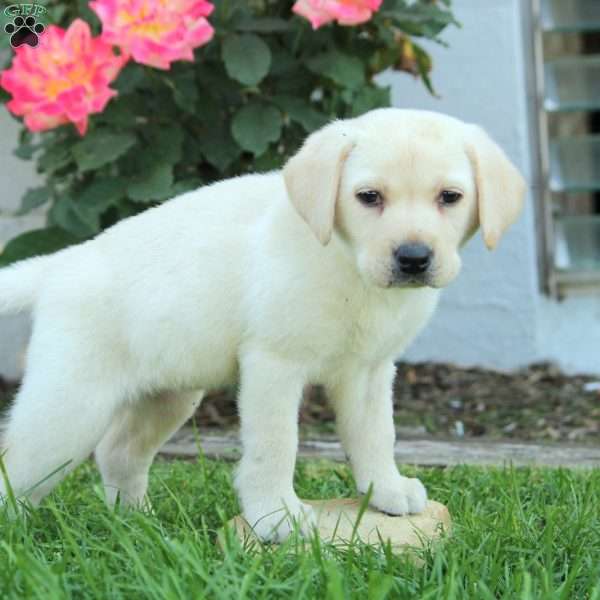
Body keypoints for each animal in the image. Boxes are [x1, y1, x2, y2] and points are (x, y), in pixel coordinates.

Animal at [0, 108, 524, 540]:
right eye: (369, 197)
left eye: (450, 197)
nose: (413, 258)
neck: (344, 262)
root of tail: (58, 266)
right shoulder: (274, 365)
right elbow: (276, 445)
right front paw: (277, 516)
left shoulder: (369, 372)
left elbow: (376, 434)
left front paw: (386, 490)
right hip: (70, 406)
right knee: (19, 464)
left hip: (169, 395)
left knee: (118, 453)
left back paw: (139, 527)